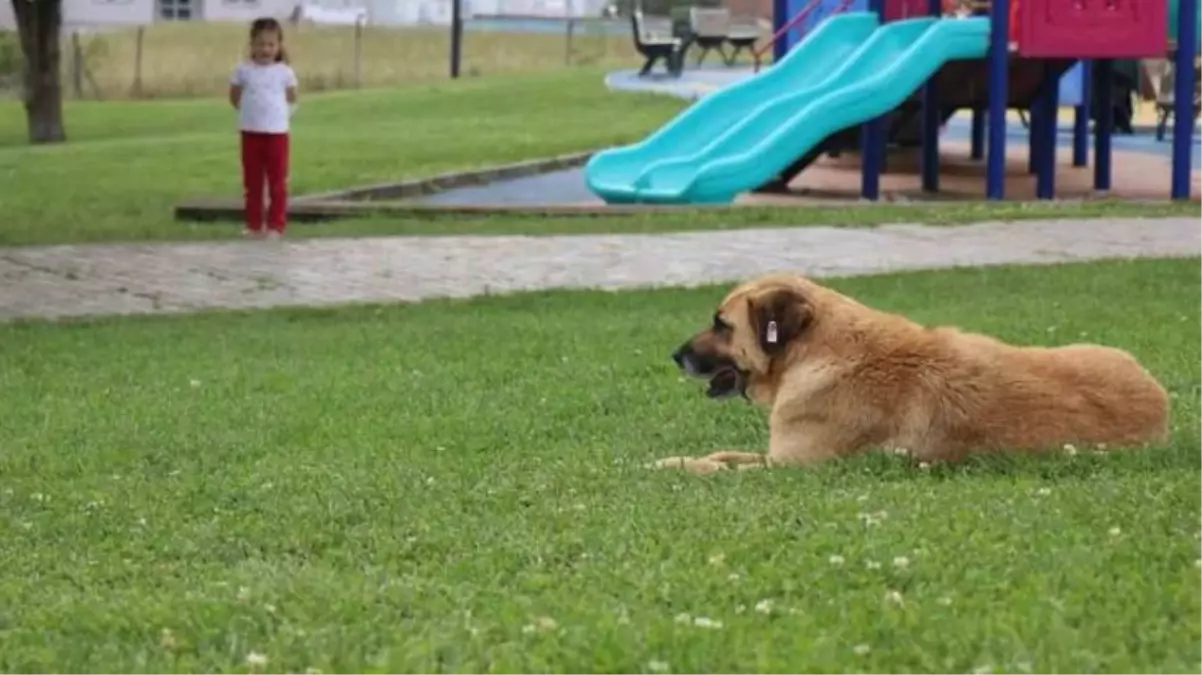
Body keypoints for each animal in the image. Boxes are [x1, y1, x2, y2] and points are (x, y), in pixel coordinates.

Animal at [653, 270, 1168, 470]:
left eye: (721, 324)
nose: (675, 355)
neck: (817, 351)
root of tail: (1158, 398)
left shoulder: (789, 467)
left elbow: (712, 466)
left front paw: (670, 466)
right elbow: (722, 454)